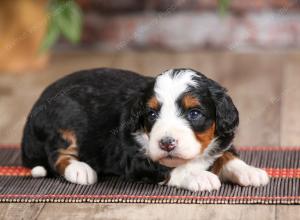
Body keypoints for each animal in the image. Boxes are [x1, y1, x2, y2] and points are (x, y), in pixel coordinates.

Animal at [21, 68, 270, 192]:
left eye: (194, 114)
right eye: (151, 115)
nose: (166, 143)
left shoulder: (222, 137)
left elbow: (226, 154)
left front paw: (249, 171)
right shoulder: (134, 158)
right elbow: (171, 168)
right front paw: (200, 176)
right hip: (64, 120)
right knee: (56, 154)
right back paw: (80, 170)